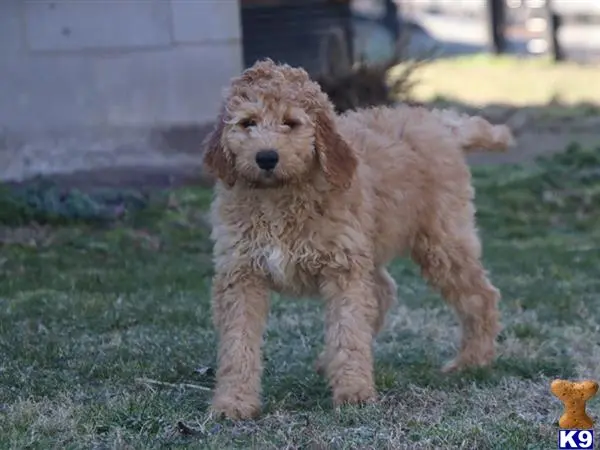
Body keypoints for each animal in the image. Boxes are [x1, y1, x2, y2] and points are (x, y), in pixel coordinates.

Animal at [202, 59, 510, 418]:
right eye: (247, 123)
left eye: (290, 123)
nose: (266, 157)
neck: (279, 195)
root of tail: (440, 125)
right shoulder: (241, 272)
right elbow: (238, 344)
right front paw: (233, 402)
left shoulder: (343, 268)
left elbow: (348, 330)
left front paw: (354, 393)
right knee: (384, 291)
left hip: (442, 239)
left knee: (479, 294)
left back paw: (472, 361)